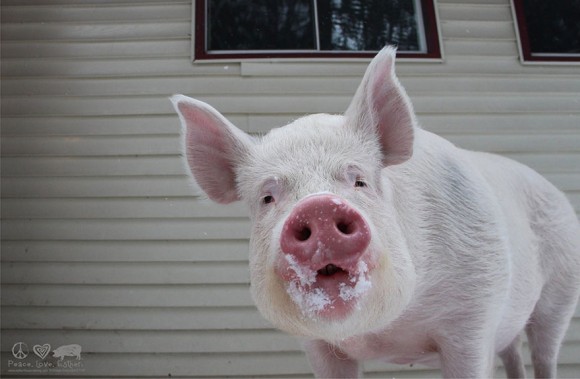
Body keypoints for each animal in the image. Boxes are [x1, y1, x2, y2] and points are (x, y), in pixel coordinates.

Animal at [171, 46, 580, 378]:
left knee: (544, 352)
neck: (383, 336)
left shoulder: (475, 315)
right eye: (267, 198)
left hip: (560, 291)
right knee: (513, 351)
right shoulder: (317, 345)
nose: (319, 207)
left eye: (360, 181)